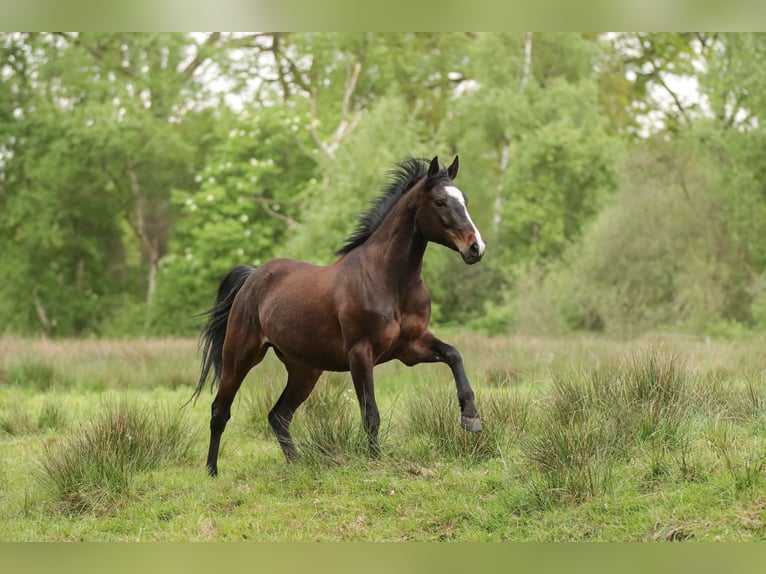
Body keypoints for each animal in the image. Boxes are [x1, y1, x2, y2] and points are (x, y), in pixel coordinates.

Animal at [194, 155, 486, 476]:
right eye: (440, 202)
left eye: (465, 199)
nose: (476, 248)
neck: (388, 281)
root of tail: (252, 277)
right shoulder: (360, 353)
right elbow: (370, 413)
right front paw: (375, 463)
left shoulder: (411, 347)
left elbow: (454, 355)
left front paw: (471, 418)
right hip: (241, 356)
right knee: (220, 411)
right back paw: (211, 472)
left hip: (304, 370)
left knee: (279, 415)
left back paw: (298, 466)